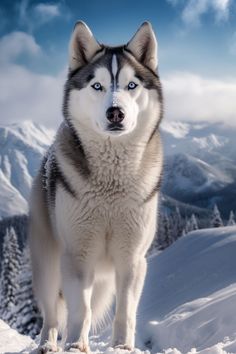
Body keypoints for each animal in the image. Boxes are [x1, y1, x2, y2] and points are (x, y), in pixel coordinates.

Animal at [29, 20, 162, 352]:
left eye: (132, 85)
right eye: (97, 86)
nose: (116, 112)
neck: (110, 186)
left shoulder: (132, 258)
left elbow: (125, 311)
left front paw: (122, 347)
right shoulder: (78, 255)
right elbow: (80, 309)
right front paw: (76, 345)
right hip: (48, 263)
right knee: (51, 313)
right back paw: (48, 344)